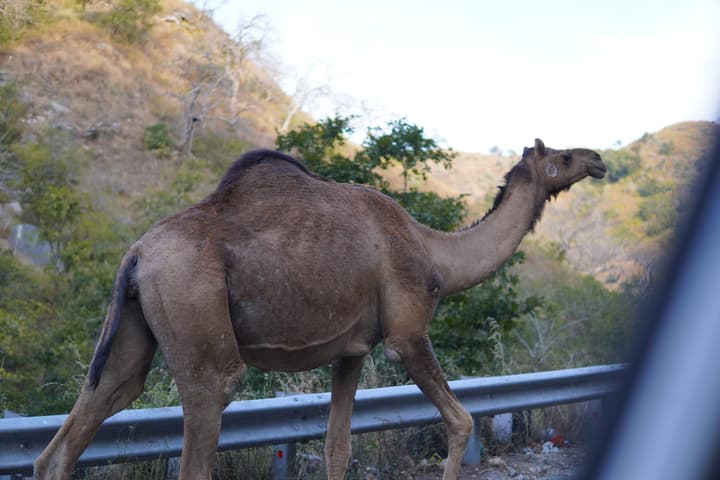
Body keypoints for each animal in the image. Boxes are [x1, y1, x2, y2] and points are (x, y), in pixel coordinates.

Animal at [34, 138, 606, 480]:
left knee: (91, 412)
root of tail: (135, 255)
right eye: (562, 156)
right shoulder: (405, 332)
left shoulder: (351, 350)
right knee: (210, 402)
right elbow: (461, 420)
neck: (435, 250)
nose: (599, 158)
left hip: (134, 325)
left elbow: (337, 446)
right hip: (191, 302)